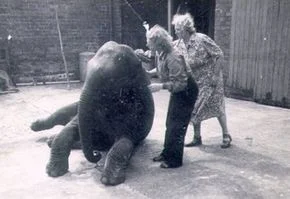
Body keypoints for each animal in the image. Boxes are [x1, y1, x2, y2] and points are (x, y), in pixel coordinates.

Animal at [30, 41, 155, 186]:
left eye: (111, 81)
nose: (97, 155)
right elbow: (70, 128)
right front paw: (53, 172)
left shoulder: (135, 108)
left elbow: (124, 141)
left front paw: (109, 180)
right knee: (59, 115)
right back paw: (37, 127)